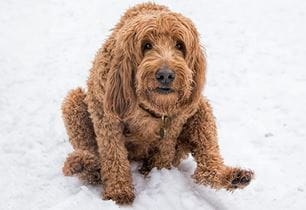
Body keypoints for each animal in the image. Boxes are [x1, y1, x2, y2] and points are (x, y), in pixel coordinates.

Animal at [61, 2, 253, 204]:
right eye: (146, 45)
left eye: (179, 45)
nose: (166, 75)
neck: (151, 107)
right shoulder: (105, 113)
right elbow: (113, 155)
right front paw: (118, 192)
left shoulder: (176, 121)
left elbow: (165, 149)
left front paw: (158, 170)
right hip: (73, 102)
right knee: (92, 155)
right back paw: (83, 165)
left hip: (201, 108)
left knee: (207, 163)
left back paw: (233, 176)